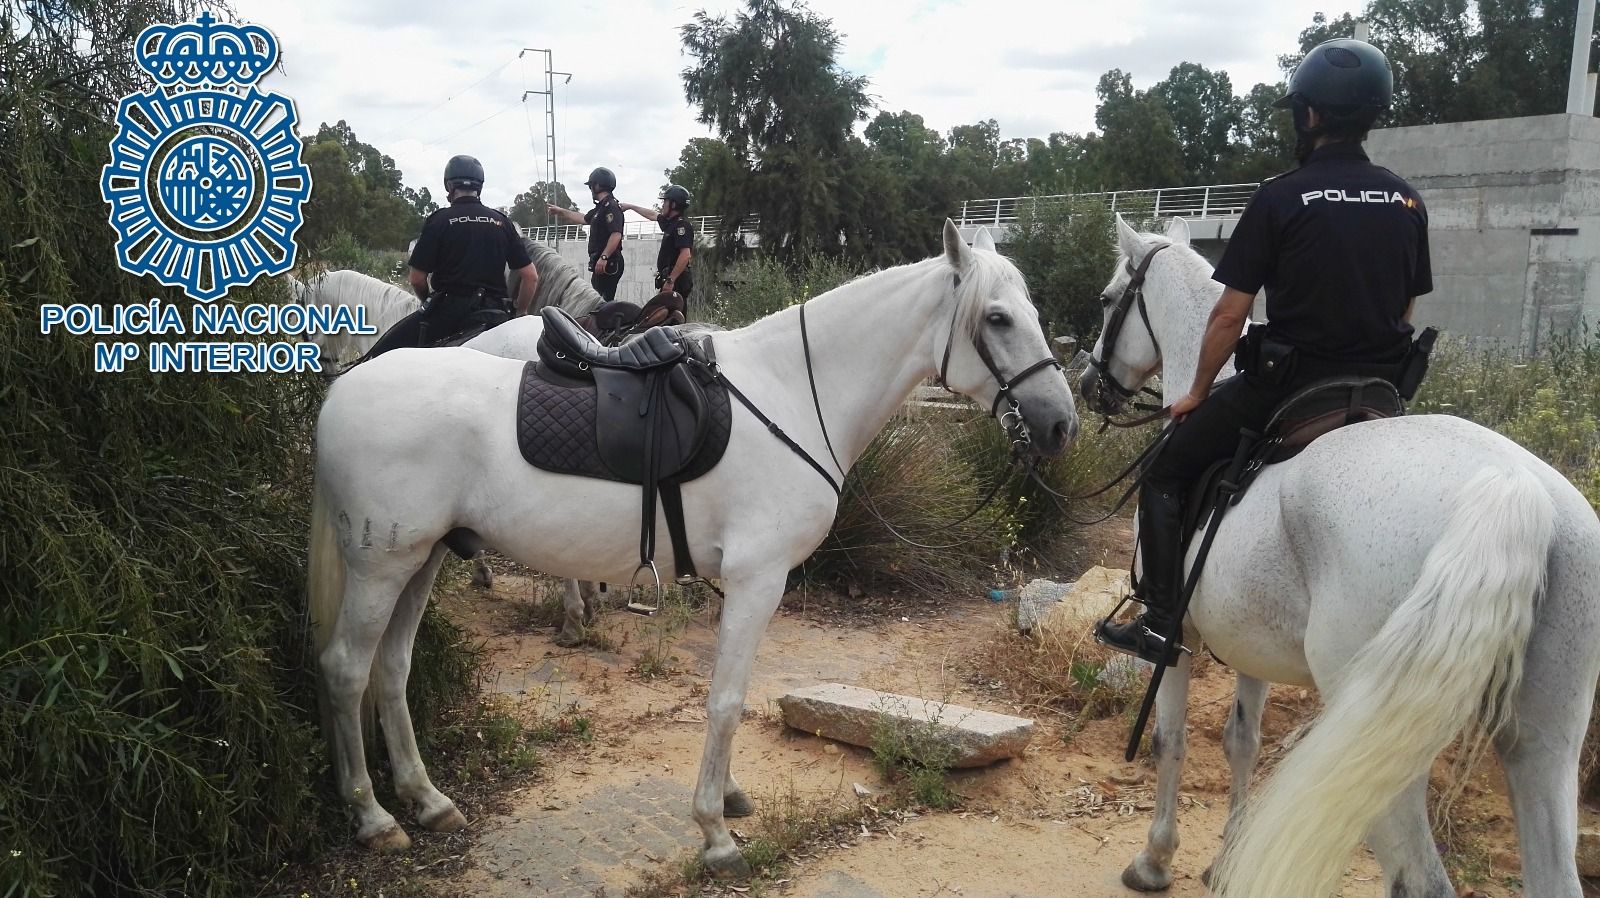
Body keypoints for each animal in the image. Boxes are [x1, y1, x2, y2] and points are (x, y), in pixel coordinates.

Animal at [304, 221, 1080, 873]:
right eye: (999, 318)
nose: (1060, 424)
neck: (792, 394)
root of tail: (343, 391)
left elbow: (730, 695)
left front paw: (728, 799)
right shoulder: (758, 580)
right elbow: (727, 701)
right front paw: (716, 832)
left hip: (424, 559)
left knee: (391, 670)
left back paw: (427, 801)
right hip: (382, 568)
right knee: (345, 670)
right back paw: (373, 817)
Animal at [1078, 214, 1600, 898]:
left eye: (1109, 298)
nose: (1089, 385)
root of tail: (1514, 490)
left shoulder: (1180, 638)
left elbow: (1171, 739)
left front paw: (1155, 860)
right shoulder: (1250, 644)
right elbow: (1241, 740)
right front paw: (1228, 861)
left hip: (1382, 731)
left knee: (1420, 880)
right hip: (1545, 741)